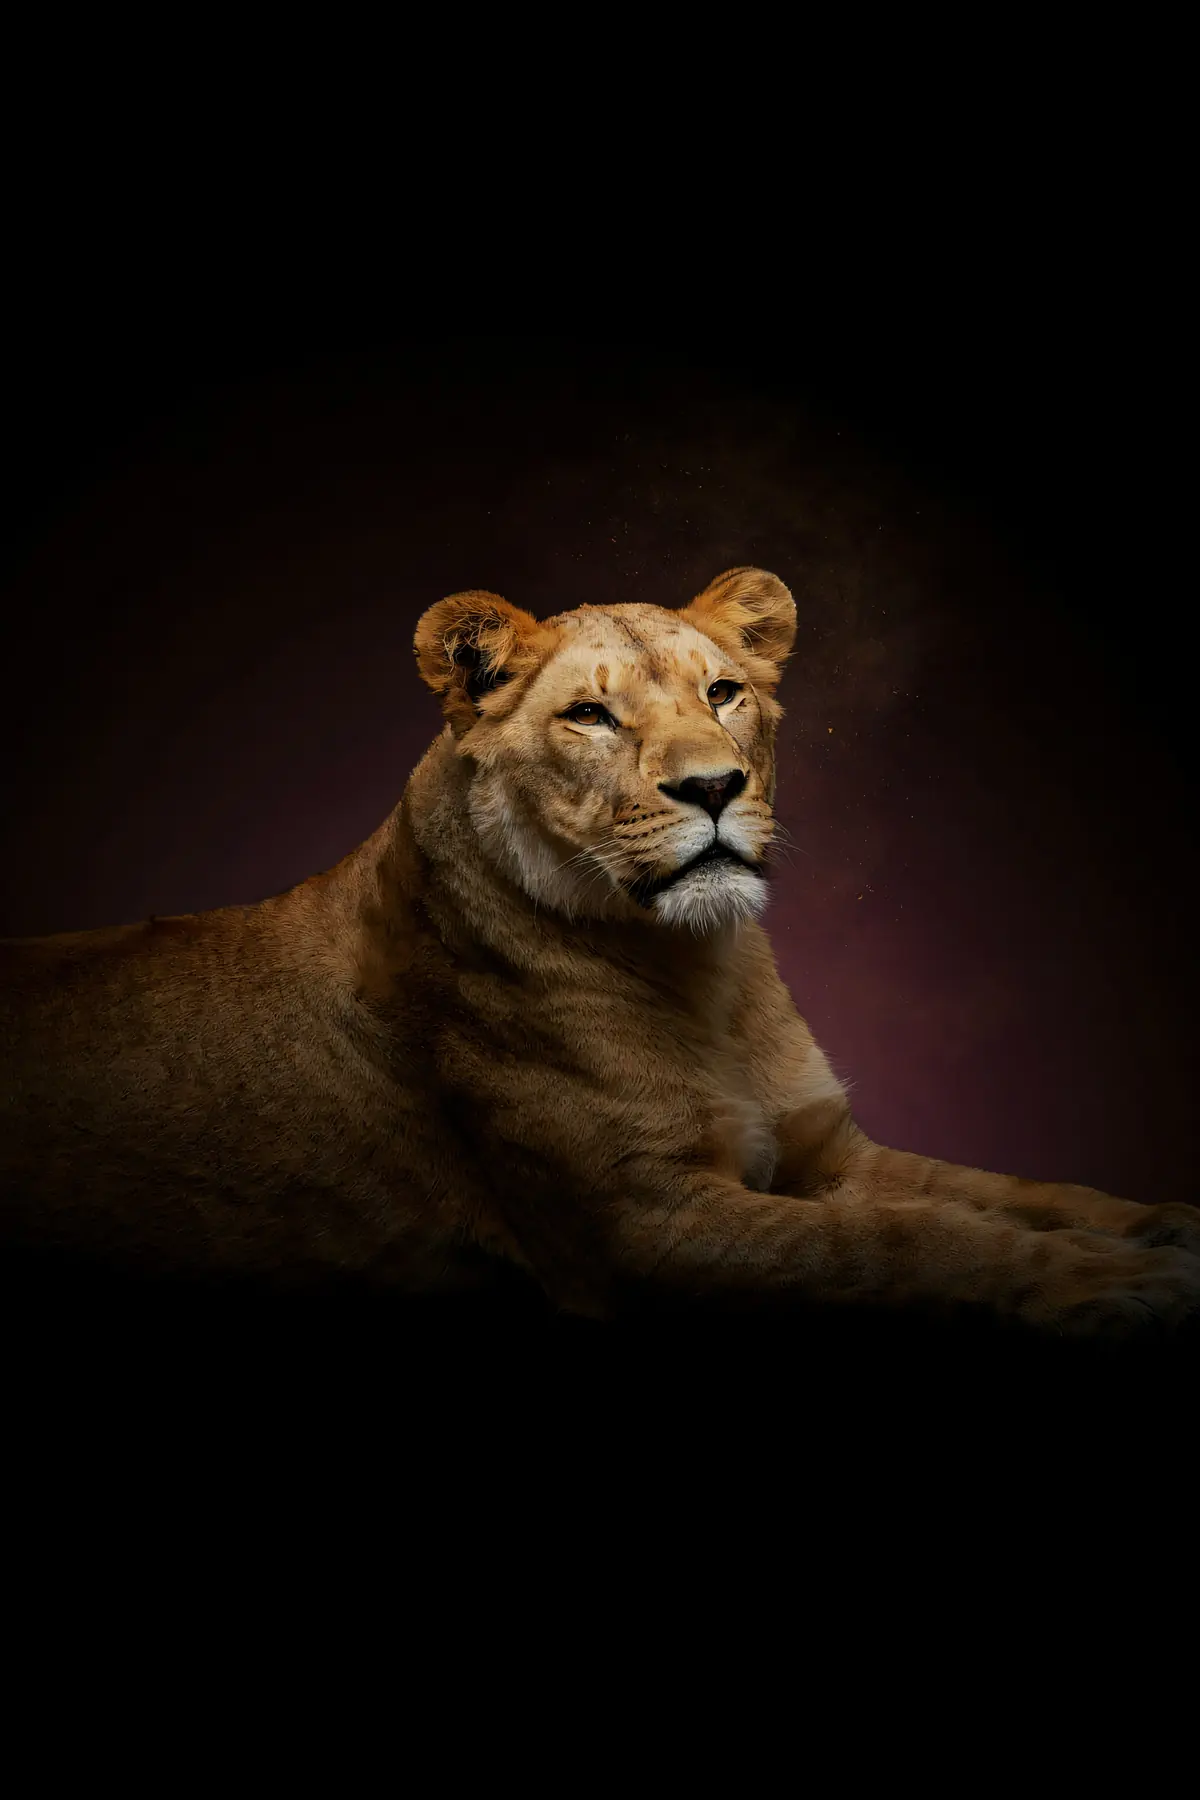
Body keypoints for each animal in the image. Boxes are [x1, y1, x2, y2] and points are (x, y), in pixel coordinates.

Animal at [1, 566, 1197, 1338]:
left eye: (724, 692)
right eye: (589, 717)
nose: (713, 786)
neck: (705, 974)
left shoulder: (827, 1151)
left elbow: (1002, 1189)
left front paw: (1158, 1227)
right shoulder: (644, 1228)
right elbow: (905, 1243)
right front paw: (1104, 1283)